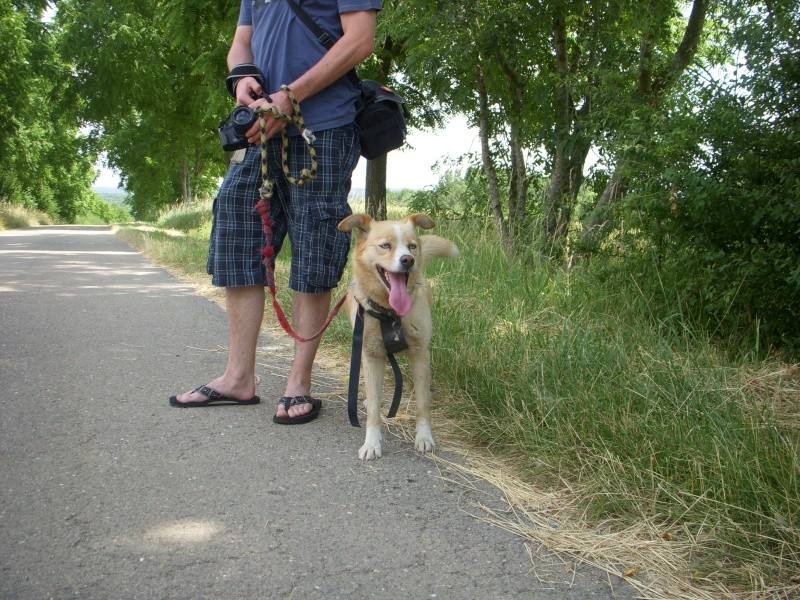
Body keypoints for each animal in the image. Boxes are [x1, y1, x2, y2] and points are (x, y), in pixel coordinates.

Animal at [338, 213, 460, 462]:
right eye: (385, 245)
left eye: (412, 246)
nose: (408, 260)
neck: (390, 313)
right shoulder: (371, 355)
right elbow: (374, 410)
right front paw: (372, 443)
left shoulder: (420, 353)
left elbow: (423, 402)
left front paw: (424, 437)